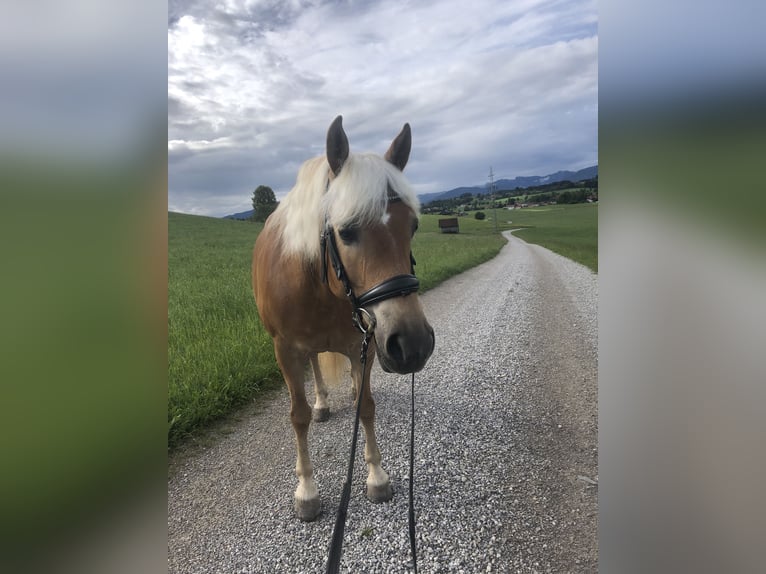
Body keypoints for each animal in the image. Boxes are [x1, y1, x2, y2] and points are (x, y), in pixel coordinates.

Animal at [250, 116, 432, 520]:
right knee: (315, 367)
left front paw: (377, 476)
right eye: (346, 232)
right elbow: (298, 416)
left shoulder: (363, 343)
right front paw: (307, 489)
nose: (413, 343)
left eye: (412, 226)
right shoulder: (284, 350)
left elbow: (366, 406)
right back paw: (321, 402)